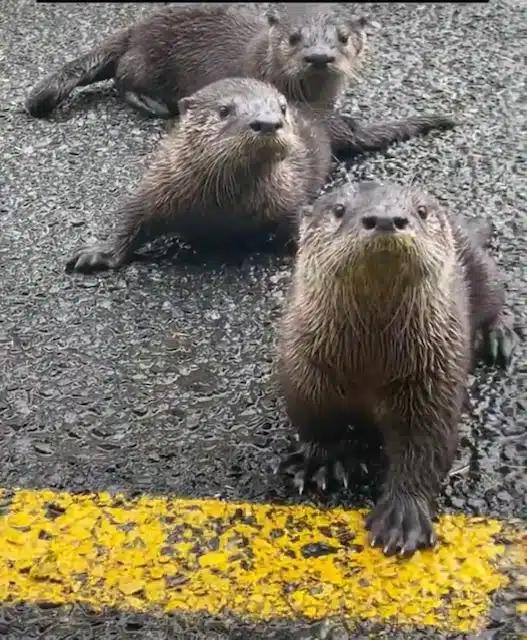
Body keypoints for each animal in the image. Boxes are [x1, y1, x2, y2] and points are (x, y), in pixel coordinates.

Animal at [23, 2, 454, 160]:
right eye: (294, 38)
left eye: (344, 38)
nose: (319, 56)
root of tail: (136, 27)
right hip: (146, 60)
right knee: (122, 79)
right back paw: (153, 104)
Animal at [65, 77, 330, 272]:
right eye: (224, 110)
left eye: (281, 108)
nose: (267, 122)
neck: (226, 208)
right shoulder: (159, 184)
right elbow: (132, 217)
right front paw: (99, 253)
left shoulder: (289, 193)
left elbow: (296, 221)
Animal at [278, 179, 516, 556]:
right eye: (339, 209)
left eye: (421, 211)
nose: (388, 219)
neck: (370, 363)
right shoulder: (305, 371)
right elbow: (315, 421)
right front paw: (324, 462)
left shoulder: (434, 379)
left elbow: (426, 445)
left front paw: (403, 516)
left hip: (482, 271)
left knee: (497, 299)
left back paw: (499, 337)